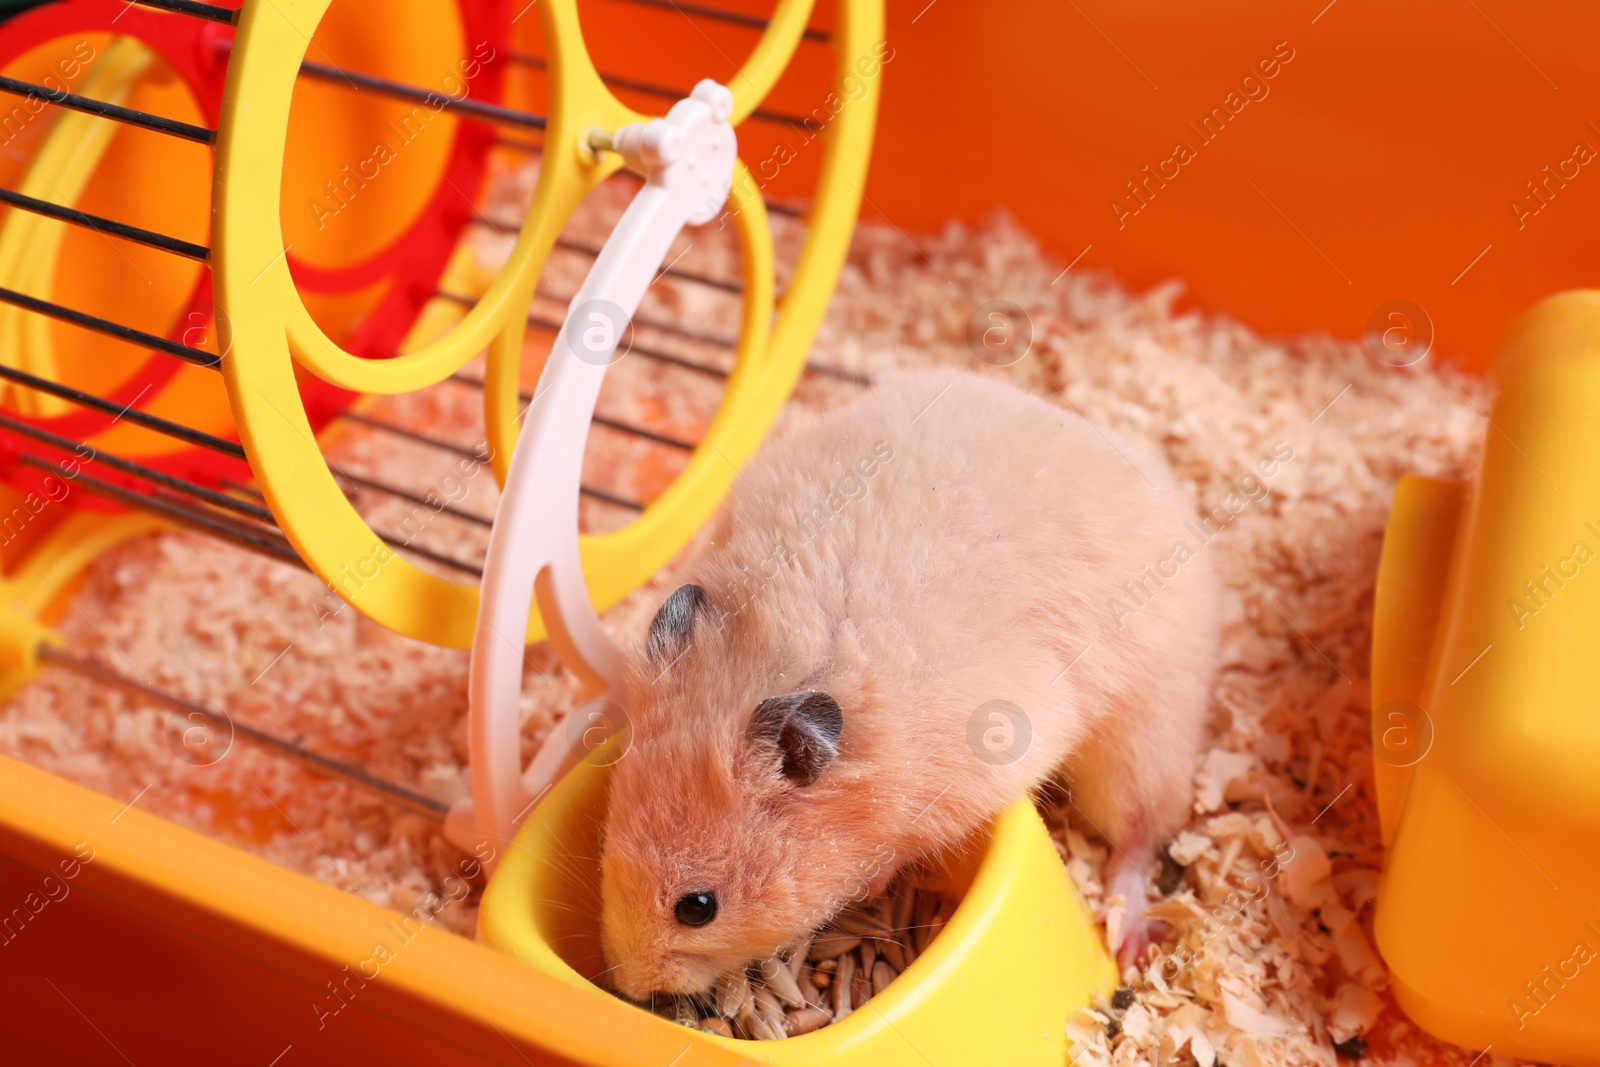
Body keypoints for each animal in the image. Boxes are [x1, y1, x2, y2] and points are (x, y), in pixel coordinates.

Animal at [595, 369, 1216, 1004]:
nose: (628, 985)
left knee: (1142, 829)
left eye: (697, 908)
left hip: (1147, 722)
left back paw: (1129, 934)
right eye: (606, 841)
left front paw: (871, 887)